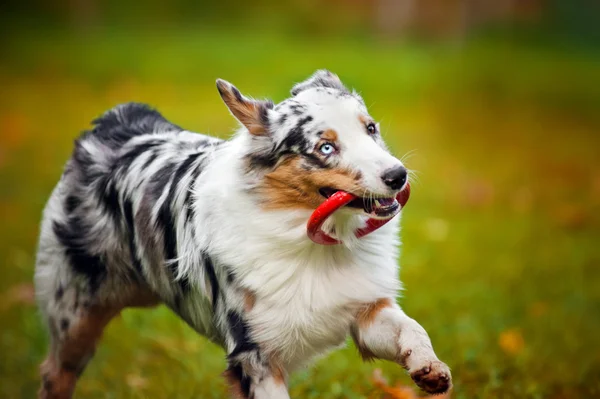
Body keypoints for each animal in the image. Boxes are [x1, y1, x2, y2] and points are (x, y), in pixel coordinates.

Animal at [34, 70, 450, 398]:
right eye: (326, 147)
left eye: (371, 128)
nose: (398, 175)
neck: (309, 240)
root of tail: (114, 122)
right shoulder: (255, 355)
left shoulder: (362, 308)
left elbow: (410, 328)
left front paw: (429, 367)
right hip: (75, 318)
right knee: (55, 373)